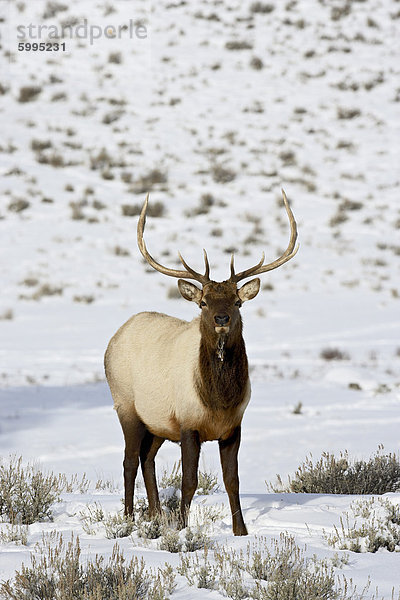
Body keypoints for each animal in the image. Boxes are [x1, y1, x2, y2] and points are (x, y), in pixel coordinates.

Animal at [104, 191, 298, 536]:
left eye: (237, 301)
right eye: (203, 302)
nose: (221, 319)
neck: (218, 399)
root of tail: (115, 337)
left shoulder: (233, 426)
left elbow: (232, 480)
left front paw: (240, 531)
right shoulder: (188, 423)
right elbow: (189, 481)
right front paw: (183, 527)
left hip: (157, 422)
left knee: (146, 459)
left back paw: (156, 513)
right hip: (126, 406)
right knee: (129, 462)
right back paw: (128, 518)